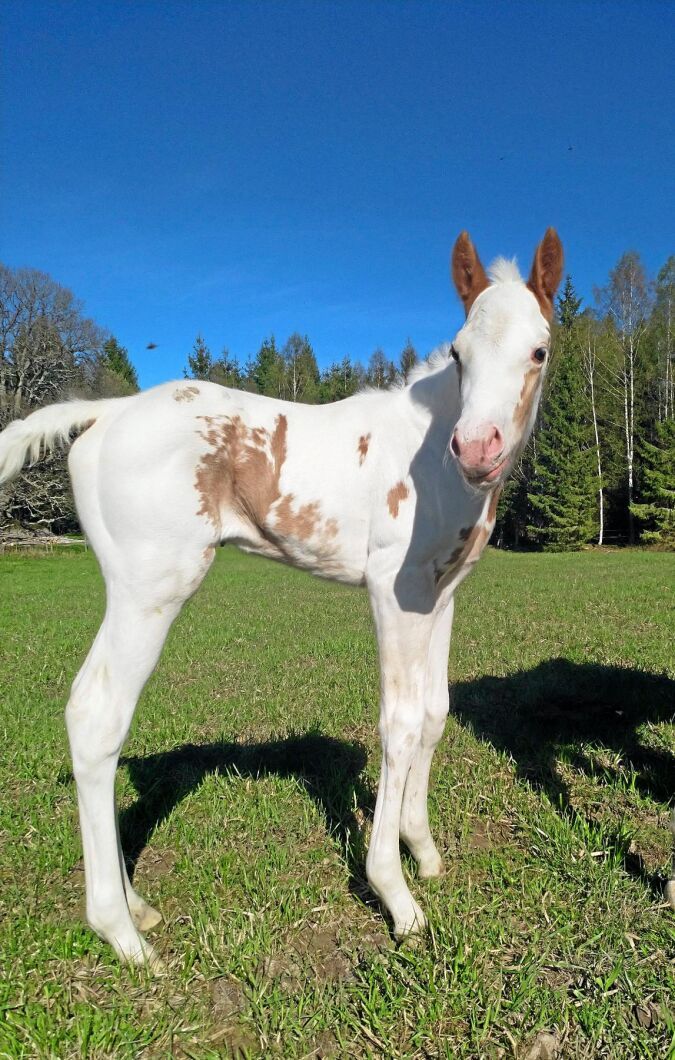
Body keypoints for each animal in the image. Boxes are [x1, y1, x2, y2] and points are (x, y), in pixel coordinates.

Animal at [0, 229, 564, 967]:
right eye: (460, 354)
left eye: (538, 350)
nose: (475, 448)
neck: (430, 460)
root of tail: (108, 410)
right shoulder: (395, 591)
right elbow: (399, 723)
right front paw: (397, 896)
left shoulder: (441, 595)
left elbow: (434, 714)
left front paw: (424, 852)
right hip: (150, 589)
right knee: (96, 717)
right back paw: (122, 934)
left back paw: (136, 906)